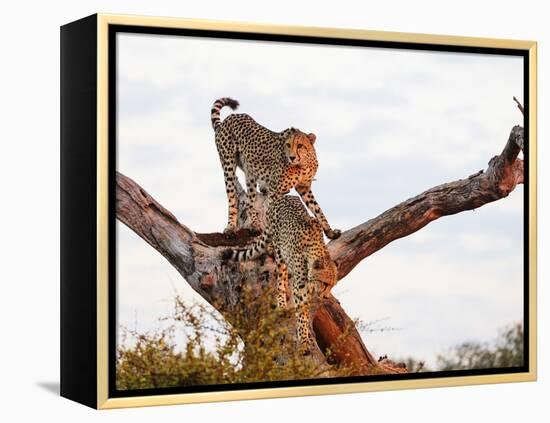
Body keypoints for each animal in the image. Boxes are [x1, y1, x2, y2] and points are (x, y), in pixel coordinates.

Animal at [211, 97, 340, 240]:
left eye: (300, 145)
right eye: (288, 145)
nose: (292, 157)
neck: (303, 164)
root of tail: (230, 117)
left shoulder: (304, 187)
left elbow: (317, 209)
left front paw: (330, 232)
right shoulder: (275, 191)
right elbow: (271, 215)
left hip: (250, 172)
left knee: (250, 200)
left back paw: (254, 224)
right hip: (228, 166)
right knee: (232, 198)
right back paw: (230, 227)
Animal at [222, 195, 338, 354]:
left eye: (333, 285)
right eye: (325, 283)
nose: (326, 297)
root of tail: (284, 196)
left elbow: (306, 312)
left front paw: (307, 335)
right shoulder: (299, 288)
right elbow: (301, 314)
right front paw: (304, 341)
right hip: (280, 253)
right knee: (280, 279)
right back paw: (282, 304)